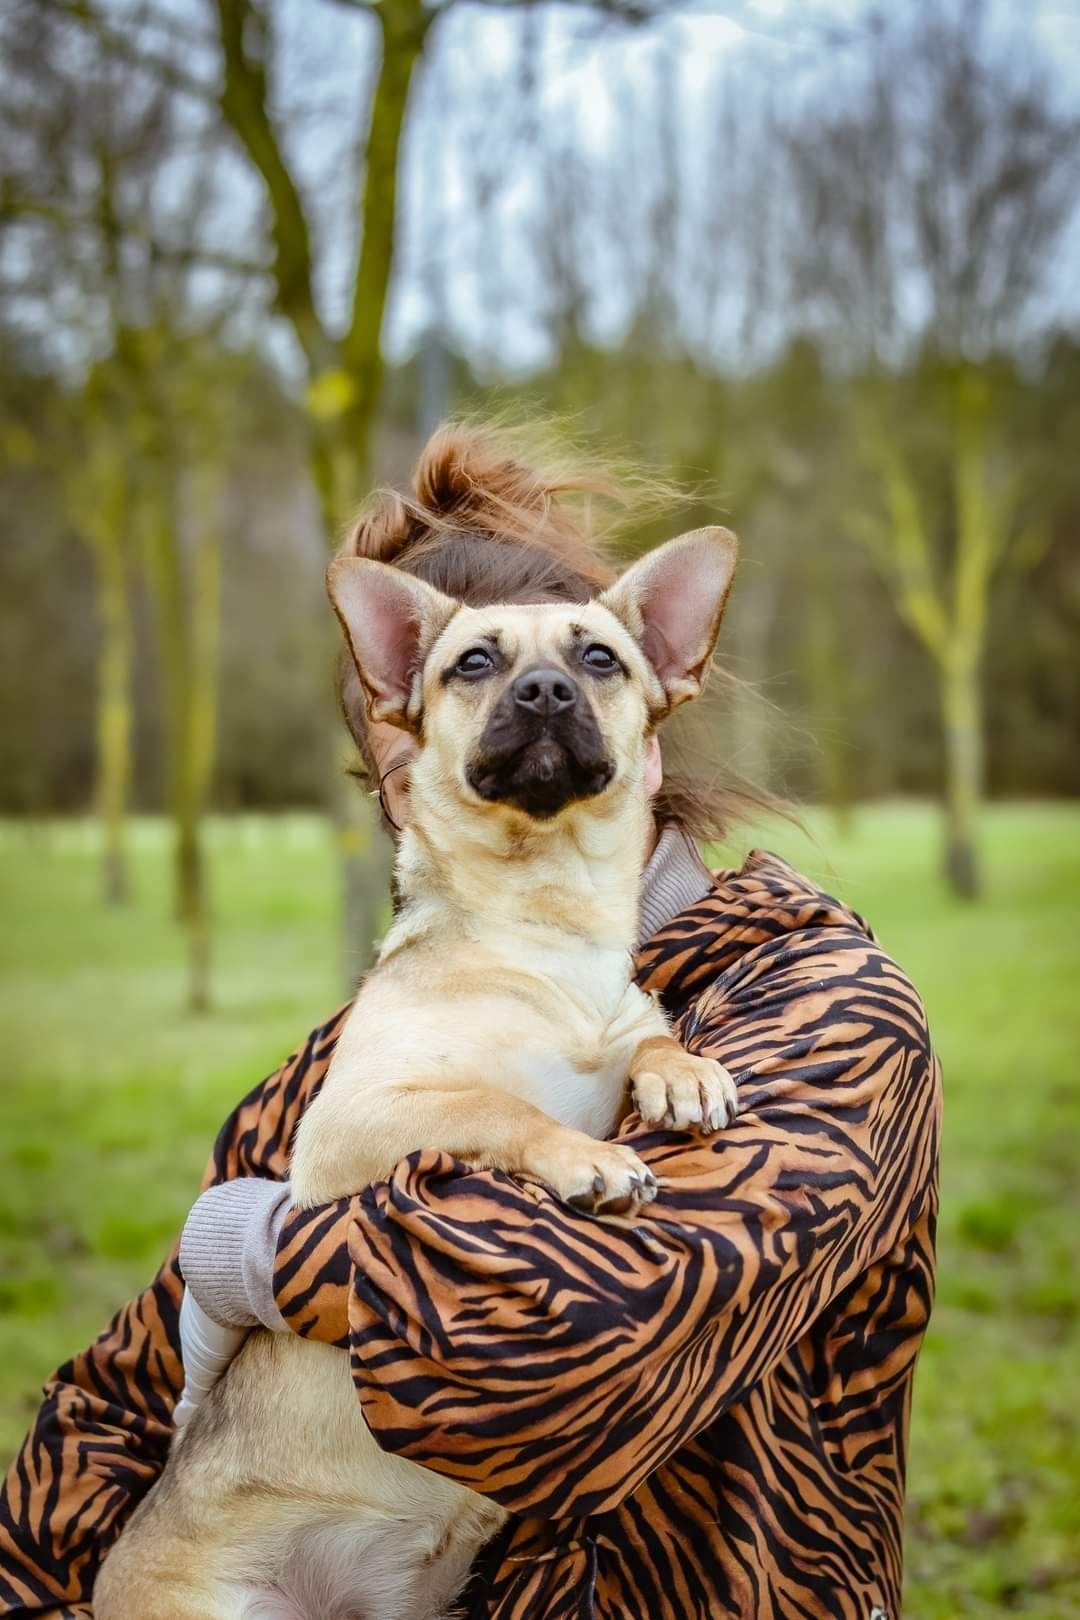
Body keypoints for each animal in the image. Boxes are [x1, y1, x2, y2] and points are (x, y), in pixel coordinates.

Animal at [95, 524, 744, 1613]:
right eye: (472, 665)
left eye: (600, 658)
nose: (543, 691)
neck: (542, 919)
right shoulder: (360, 1118)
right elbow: (495, 1104)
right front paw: (587, 1160)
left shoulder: (618, 1016)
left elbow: (649, 1034)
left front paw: (682, 1072)